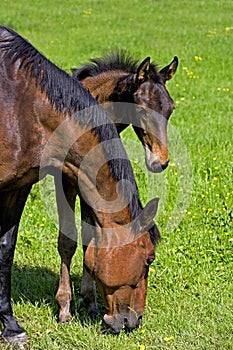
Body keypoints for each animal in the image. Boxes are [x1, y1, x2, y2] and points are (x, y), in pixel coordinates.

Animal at [0, 26, 160, 344]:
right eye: (148, 259)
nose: (135, 321)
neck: (25, 107)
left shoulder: (17, 187)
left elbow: (6, 248)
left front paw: (10, 324)